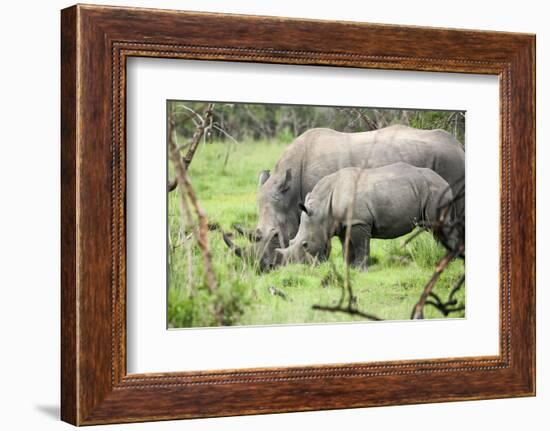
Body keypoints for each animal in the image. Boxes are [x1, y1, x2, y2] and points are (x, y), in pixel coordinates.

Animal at [278, 164, 460, 272]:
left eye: (305, 245)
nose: (298, 268)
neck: (321, 208)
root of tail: (446, 183)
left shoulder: (359, 221)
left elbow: (361, 246)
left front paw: (360, 270)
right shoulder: (344, 224)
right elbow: (347, 247)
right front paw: (349, 268)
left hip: (436, 191)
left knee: (440, 227)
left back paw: (451, 261)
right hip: (431, 190)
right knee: (437, 230)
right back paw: (444, 259)